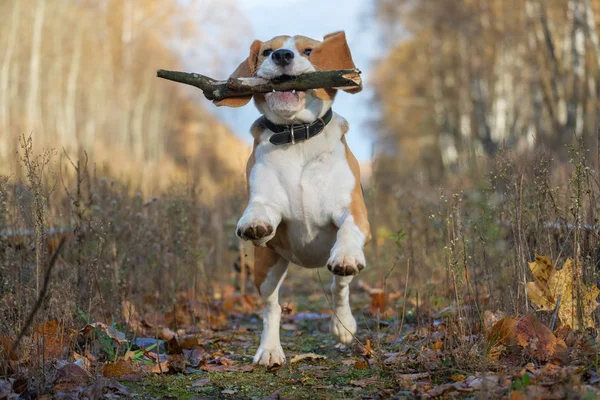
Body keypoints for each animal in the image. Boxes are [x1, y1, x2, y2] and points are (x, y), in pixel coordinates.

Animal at [216, 32, 370, 368]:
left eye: (308, 50)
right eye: (267, 51)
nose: (282, 56)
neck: (296, 136)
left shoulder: (353, 210)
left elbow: (349, 229)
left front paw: (346, 255)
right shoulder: (268, 202)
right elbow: (260, 208)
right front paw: (254, 222)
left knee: (340, 286)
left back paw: (343, 325)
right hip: (267, 267)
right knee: (271, 307)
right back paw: (270, 350)